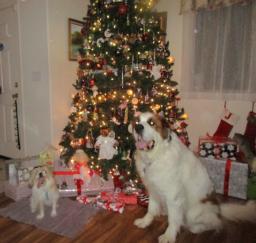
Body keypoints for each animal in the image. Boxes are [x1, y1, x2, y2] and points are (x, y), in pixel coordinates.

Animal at [132, 112, 256, 243]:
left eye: (151, 123)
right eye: (137, 122)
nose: (138, 127)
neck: (156, 156)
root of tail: (219, 209)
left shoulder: (173, 196)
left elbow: (173, 220)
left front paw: (169, 236)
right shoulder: (153, 189)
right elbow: (151, 209)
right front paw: (145, 221)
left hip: (192, 213)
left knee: (215, 223)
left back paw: (196, 227)